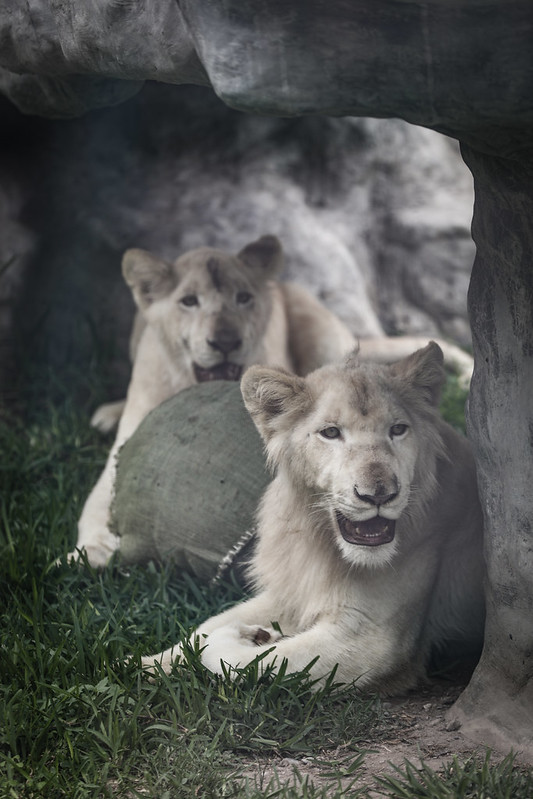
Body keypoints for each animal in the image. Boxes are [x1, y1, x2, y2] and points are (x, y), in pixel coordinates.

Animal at [71, 234, 473, 568]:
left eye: (243, 298)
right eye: (188, 302)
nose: (226, 342)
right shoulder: (124, 444)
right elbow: (97, 499)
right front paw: (90, 551)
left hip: (326, 341)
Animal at [141, 343, 485, 694]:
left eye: (398, 430)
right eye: (331, 433)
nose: (378, 495)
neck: (324, 545)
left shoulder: (374, 640)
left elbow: (248, 659)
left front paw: (248, 637)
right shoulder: (295, 590)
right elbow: (206, 625)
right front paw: (141, 664)